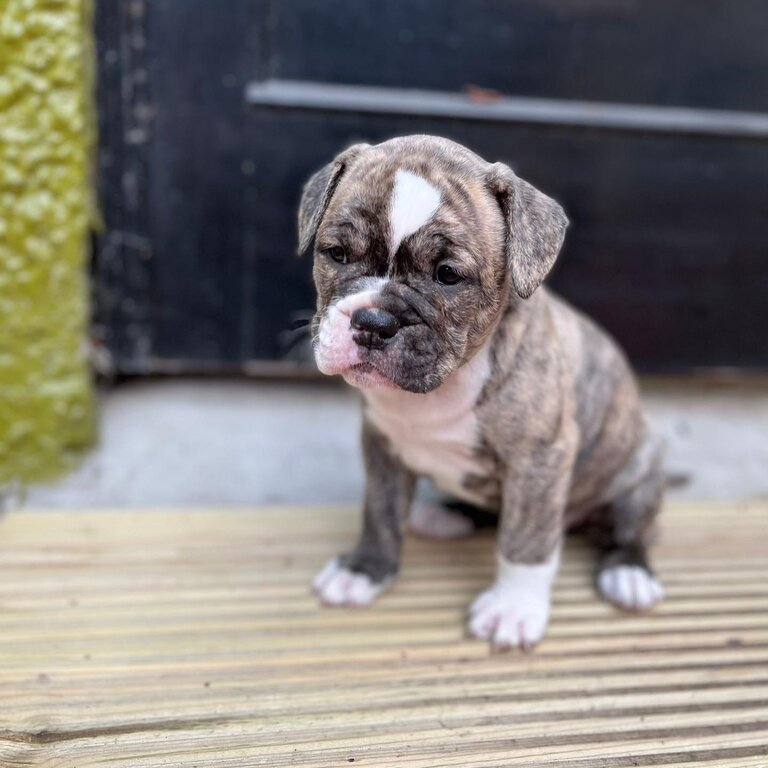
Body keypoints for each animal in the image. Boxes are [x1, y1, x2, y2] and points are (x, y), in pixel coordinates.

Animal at [296, 136, 664, 648]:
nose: (373, 321)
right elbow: (380, 512)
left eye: (448, 275)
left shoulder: (538, 459)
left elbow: (525, 540)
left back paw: (628, 572)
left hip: (639, 465)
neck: (445, 383)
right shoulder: (382, 444)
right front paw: (364, 570)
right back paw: (446, 515)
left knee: (630, 527)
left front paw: (513, 608)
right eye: (336, 254)